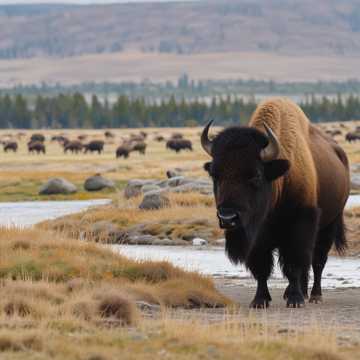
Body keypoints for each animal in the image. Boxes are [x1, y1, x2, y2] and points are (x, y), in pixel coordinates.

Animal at [201, 99, 350, 310]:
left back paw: (314, 295)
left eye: (255, 175)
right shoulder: (257, 234)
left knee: (317, 261)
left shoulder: (300, 224)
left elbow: (294, 263)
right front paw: (260, 300)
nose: (227, 217)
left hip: (329, 224)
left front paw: (295, 300)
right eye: (215, 175)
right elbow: (261, 267)